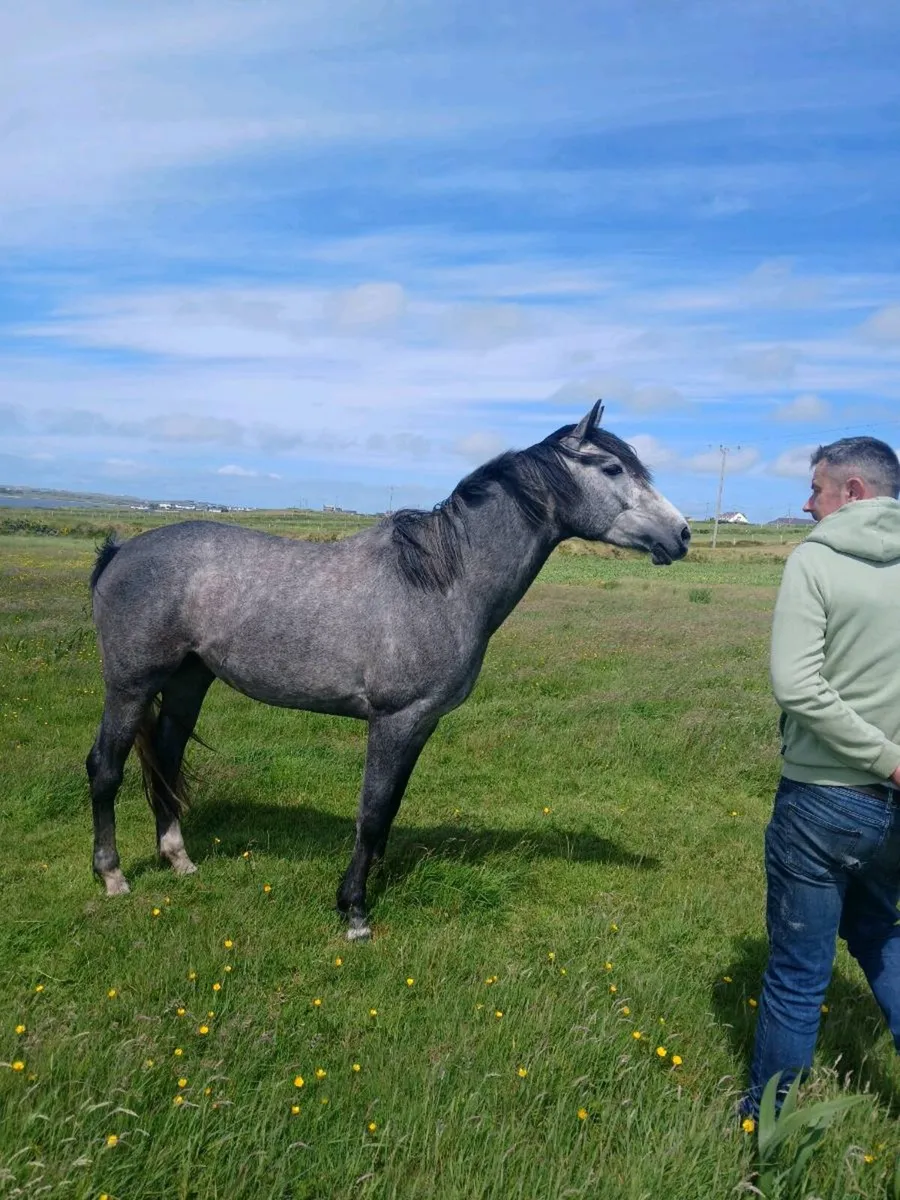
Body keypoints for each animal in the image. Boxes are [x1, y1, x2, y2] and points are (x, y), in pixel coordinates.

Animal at [86, 401, 689, 939]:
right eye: (612, 468)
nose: (681, 534)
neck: (440, 582)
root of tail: (120, 551)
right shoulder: (394, 719)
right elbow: (372, 810)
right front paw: (354, 909)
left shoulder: (421, 722)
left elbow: (391, 806)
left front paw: (372, 877)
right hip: (130, 686)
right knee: (105, 769)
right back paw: (113, 876)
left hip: (189, 680)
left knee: (165, 761)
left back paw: (179, 860)